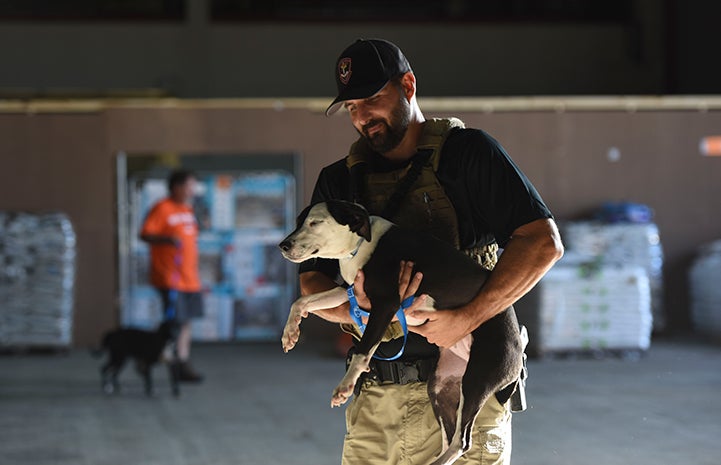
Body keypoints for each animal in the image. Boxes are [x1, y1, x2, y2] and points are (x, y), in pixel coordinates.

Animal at [278, 200, 520, 464]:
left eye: (315, 222)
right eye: (299, 221)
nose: (283, 245)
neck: (361, 245)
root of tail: (518, 345)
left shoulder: (386, 304)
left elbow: (364, 349)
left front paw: (345, 386)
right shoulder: (353, 293)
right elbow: (302, 301)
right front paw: (290, 332)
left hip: (477, 382)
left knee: (462, 440)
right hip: (439, 385)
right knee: (449, 435)